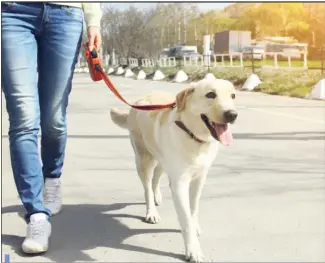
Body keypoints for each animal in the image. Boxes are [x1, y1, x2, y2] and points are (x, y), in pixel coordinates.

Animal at [109, 78, 235, 262]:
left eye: (233, 96)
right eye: (211, 94)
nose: (232, 114)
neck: (193, 137)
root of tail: (138, 102)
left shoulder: (199, 178)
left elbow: (193, 208)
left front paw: (195, 225)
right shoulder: (179, 183)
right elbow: (185, 218)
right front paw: (193, 249)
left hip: (162, 160)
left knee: (155, 178)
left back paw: (157, 196)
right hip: (144, 159)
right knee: (147, 186)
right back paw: (151, 211)